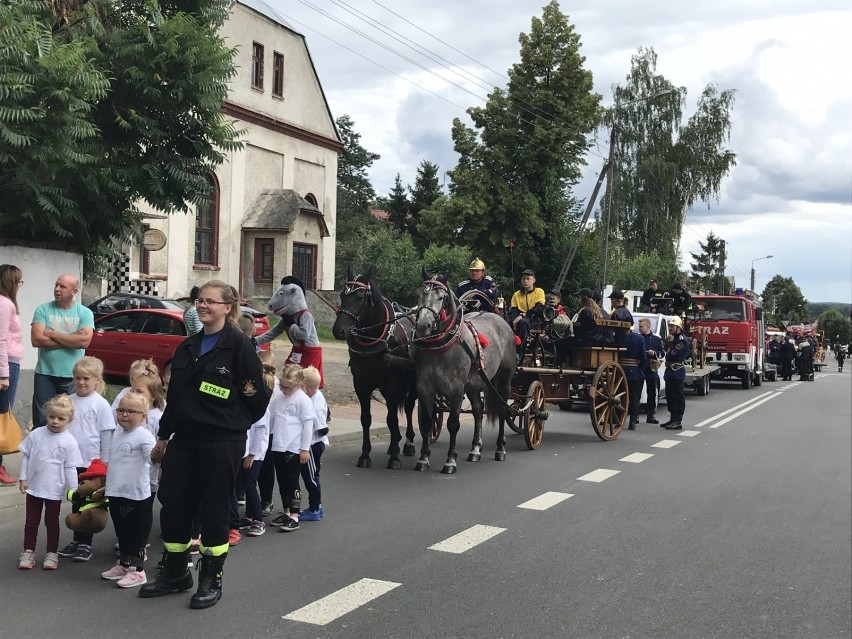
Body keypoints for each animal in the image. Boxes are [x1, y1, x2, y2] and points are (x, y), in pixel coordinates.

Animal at [332, 268, 418, 470]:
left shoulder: (392, 386)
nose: (338, 330)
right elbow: (366, 419)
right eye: (342, 295)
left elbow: (392, 420)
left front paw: (394, 458)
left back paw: (408, 443)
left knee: (409, 407)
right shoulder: (361, 385)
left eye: (359, 297)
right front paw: (365, 455)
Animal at [410, 270, 516, 476]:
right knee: (478, 411)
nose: (423, 326)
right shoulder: (424, 389)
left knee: (501, 410)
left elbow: (453, 424)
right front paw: (423, 458)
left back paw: (500, 449)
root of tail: (501, 319)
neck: (441, 346)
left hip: (503, 380)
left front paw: (450, 460)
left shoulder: (456, 390)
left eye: (441, 297)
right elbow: (426, 422)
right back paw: (475, 449)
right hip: (474, 386)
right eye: (419, 295)